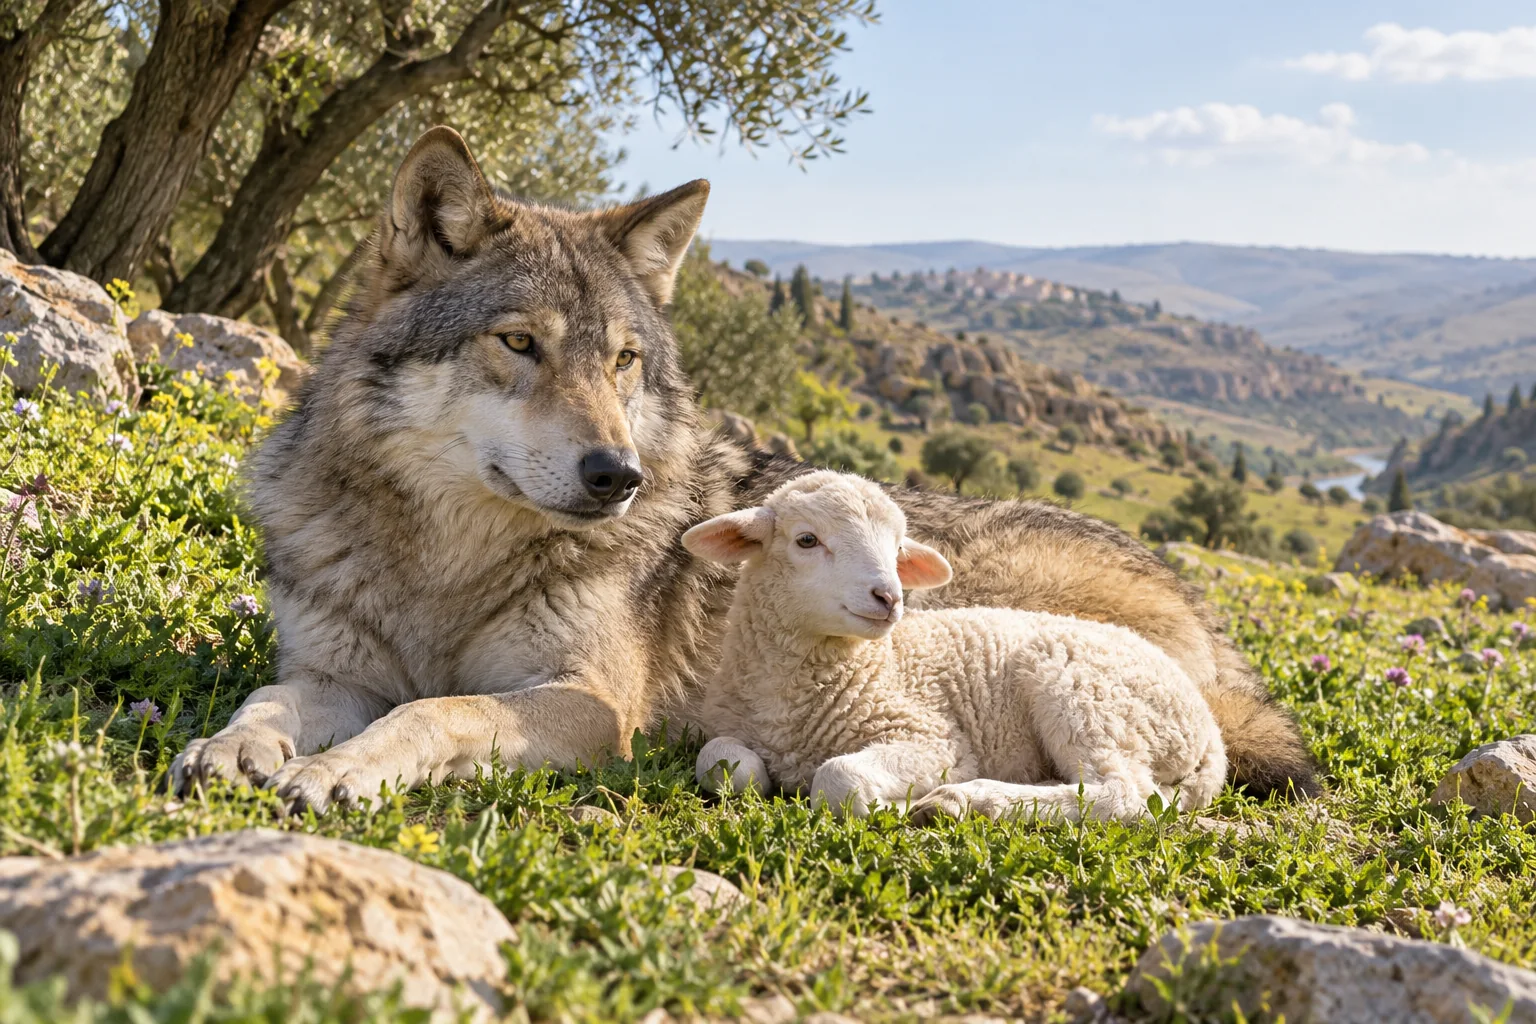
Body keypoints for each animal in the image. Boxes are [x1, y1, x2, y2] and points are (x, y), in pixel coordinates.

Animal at [170, 127, 1318, 811]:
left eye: (623, 361)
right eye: (519, 344)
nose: (618, 476)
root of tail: (1198, 602)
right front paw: (233, 750)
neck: (444, 567)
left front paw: (340, 772)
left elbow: (436, 711)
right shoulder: (334, 670)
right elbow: (269, 699)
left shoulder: (592, 706)